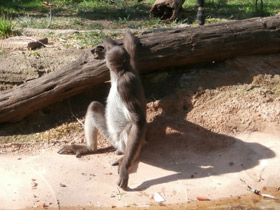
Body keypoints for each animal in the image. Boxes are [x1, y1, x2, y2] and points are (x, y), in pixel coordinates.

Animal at [58, 32, 148, 189]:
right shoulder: (132, 69)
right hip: (111, 136)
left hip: (120, 141)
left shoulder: (125, 84)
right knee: (93, 105)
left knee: (132, 126)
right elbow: (124, 49)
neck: (122, 73)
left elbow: (139, 121)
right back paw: (90, 148)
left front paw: (125, 169)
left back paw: (126, 159)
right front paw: (127, 37)